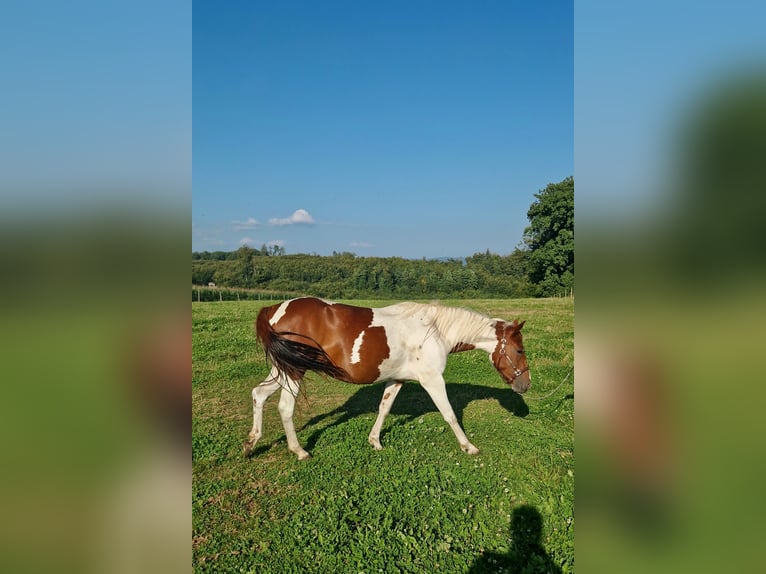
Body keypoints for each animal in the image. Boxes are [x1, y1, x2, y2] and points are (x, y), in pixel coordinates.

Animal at [244, 297, 531, 460]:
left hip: (283, 369)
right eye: (519, 350)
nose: (525, 384)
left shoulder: (397, 380)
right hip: (294, 372)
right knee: (284, 407)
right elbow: (449, 414)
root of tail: (273, 309)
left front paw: (375, 441)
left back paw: (251, 443)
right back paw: (299, 451)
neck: (434, 329)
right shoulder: (432, 380)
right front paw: (468, 447)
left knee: (258, 394)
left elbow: (384, 408)